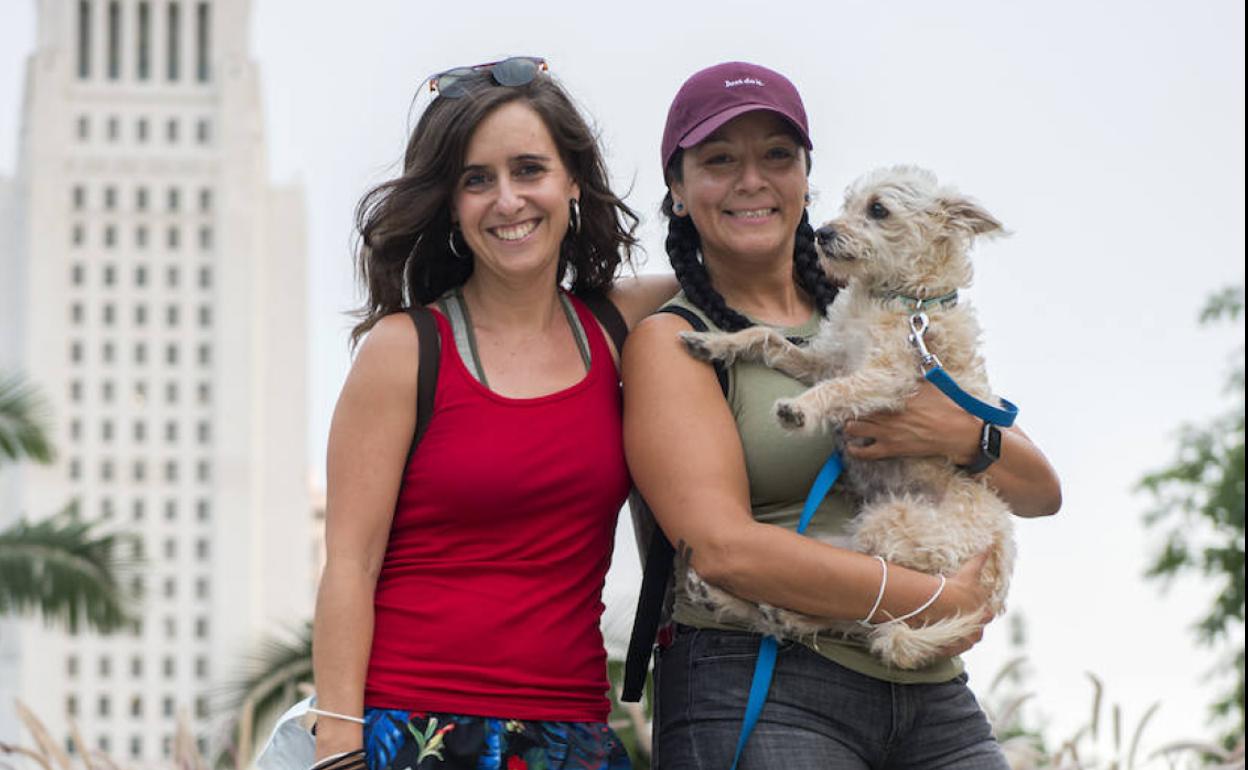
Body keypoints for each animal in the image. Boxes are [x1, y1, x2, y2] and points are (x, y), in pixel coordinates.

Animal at [683, 167, 1013, 668]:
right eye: (848, 203)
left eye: (878, 209)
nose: (820, 233)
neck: (904, 300)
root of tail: (995, 580)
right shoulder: (827, 360)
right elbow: (766, 337)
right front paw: (717, 342)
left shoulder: (887, 376)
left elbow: (839, 391)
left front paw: (800, 410)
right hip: (847, 541)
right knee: (844, 615)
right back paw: (741, 605)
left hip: (889, 528)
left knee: (861, 612)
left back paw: (768, 611)